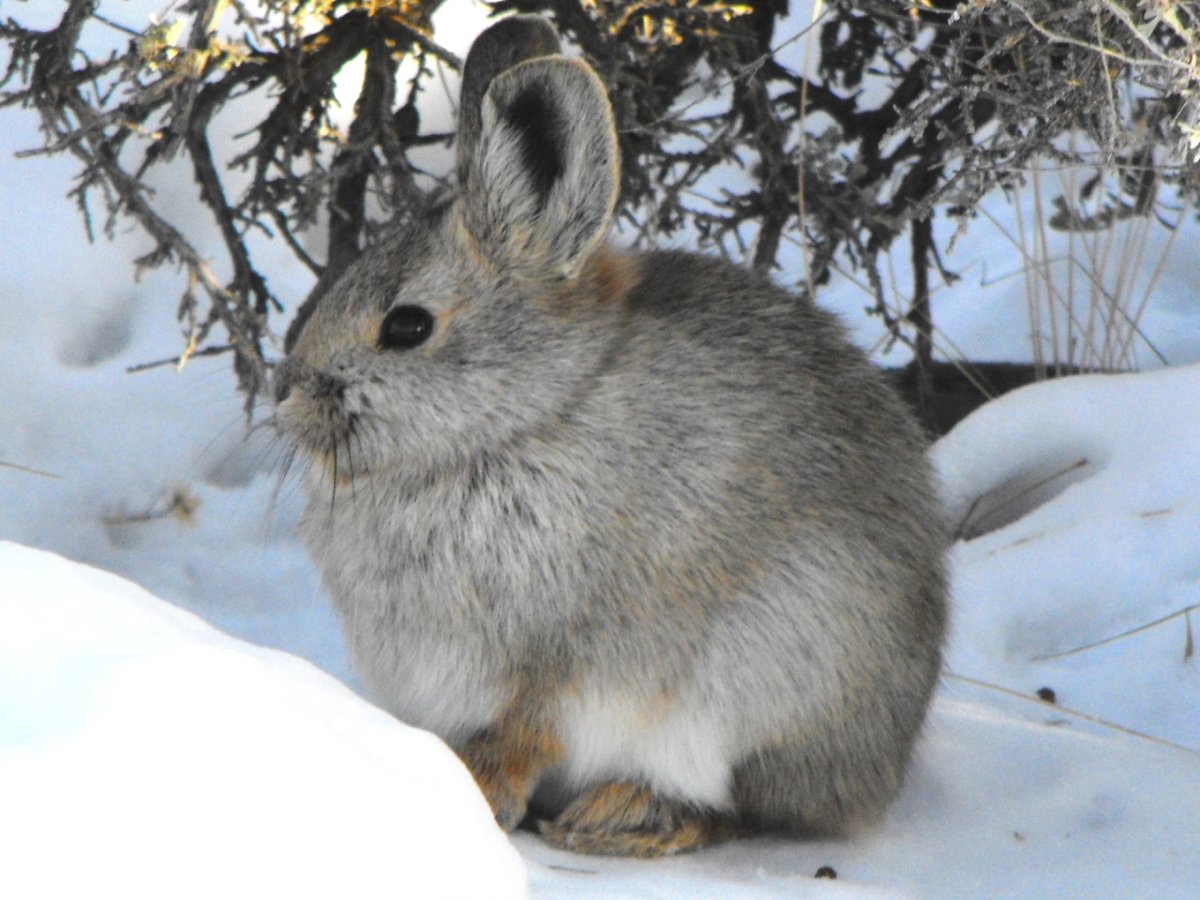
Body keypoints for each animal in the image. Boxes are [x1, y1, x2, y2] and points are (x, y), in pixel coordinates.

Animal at [272, 15, 948, 858]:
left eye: (407, 326)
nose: (288, 395)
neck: (524, 419)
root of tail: (886, 764)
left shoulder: (556, 666)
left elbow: (523, 735)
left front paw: (473, 795)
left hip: (766, 675)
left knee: (734, 806)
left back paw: (618, 818)